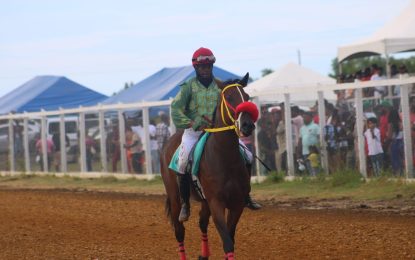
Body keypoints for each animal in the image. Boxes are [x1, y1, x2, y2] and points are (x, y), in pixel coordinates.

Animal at [161, 73, 258, 260]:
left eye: (247, 96)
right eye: (229, 97)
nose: (247, 125)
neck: (225, 159)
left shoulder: (236, 204)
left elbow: (230, 238)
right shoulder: (216, 203)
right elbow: (227, 242)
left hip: (204, 201)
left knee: (202, 222)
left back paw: (204, 254)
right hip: (175, 197)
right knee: (179, 231)